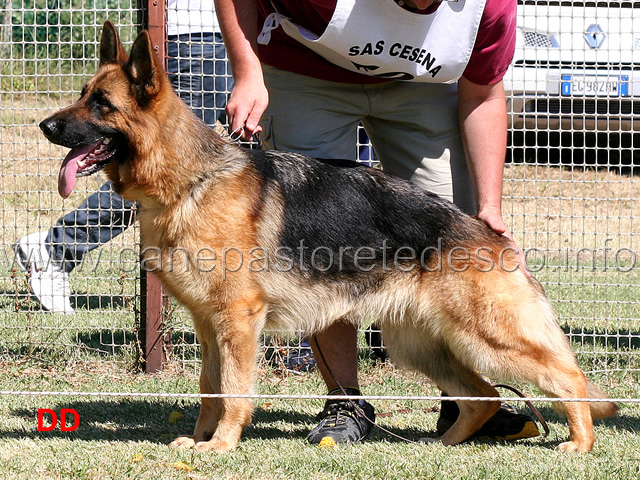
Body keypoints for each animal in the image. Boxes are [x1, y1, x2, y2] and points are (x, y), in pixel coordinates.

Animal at [37, 21, 616, 454]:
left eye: (101, 104)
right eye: (82, 97)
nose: (46, 126)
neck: (190, 180)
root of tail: (486, 232)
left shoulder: (238, 322)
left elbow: (234, 390)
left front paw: (221, 446)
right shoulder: (209, 325)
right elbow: (208, 388)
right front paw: (200, 441)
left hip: (487, 339)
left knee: (568, 379)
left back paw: (579, 444)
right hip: (421, 345)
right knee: (485, 396)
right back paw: (443, 443)